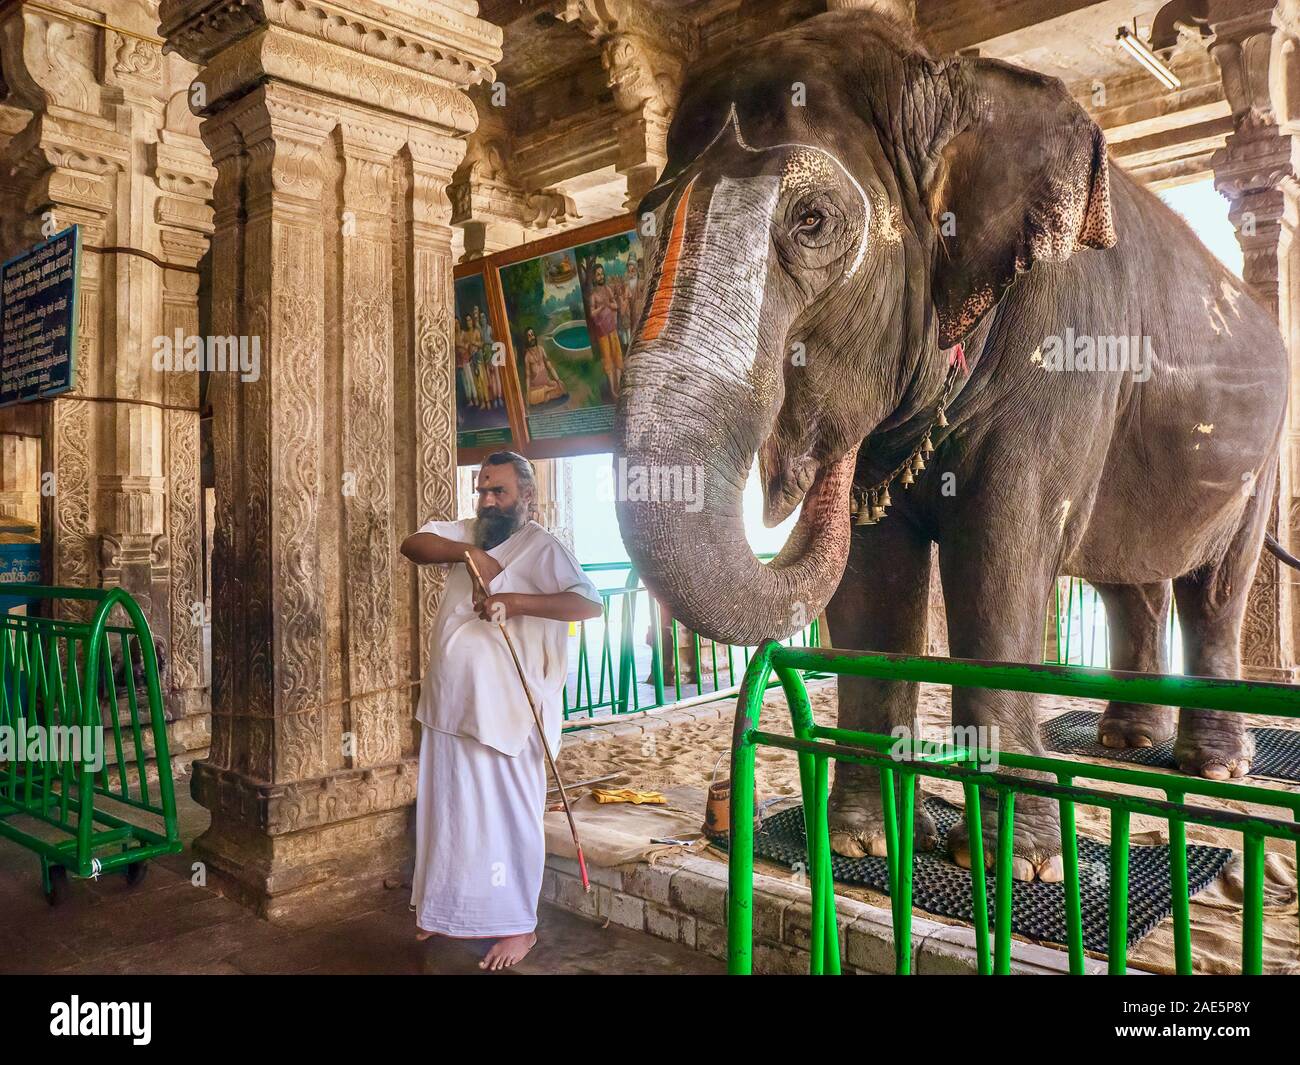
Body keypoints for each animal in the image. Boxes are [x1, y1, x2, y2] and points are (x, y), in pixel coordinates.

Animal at [613, 7, 1291, 883]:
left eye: (812, 222)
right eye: (642, 230)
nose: (811, 460)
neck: (951, 84)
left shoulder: (1066, 348)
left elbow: (1002, 553)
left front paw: (1021, 867)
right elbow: (872, 580)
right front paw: (861, 842)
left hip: (1262, 455)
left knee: (1213, 587)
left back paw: (1212, 764)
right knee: (1128, 580)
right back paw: (1125, 740)